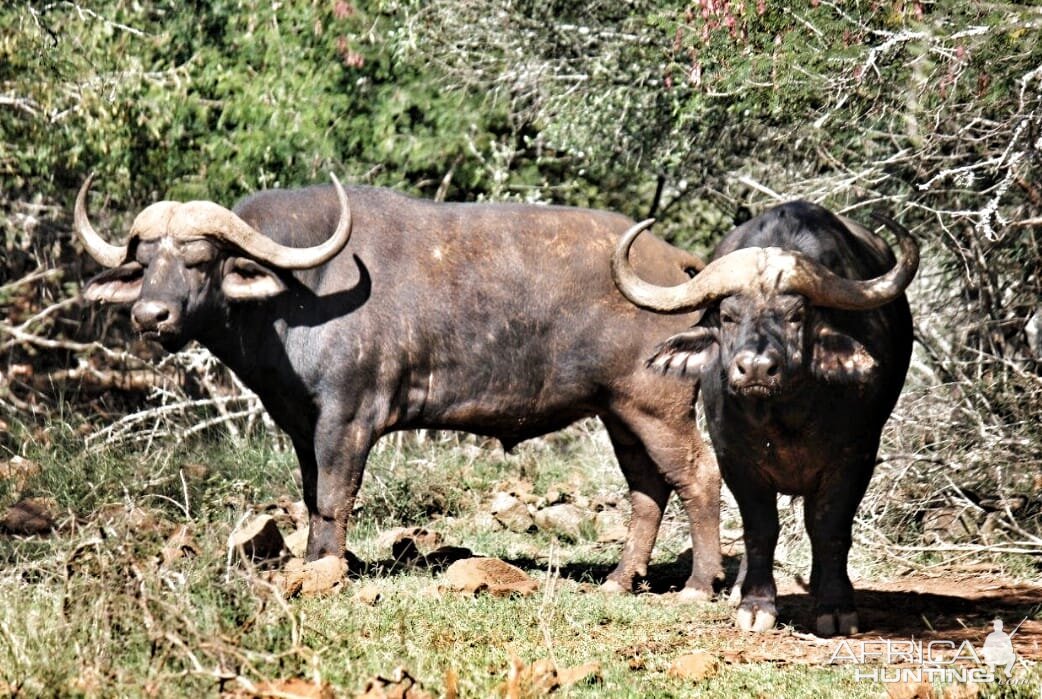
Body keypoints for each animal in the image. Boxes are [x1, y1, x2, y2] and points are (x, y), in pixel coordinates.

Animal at [608, 201, 921, 633]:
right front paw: (756, 604)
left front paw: (835, 606)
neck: (784, 417)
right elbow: (760, 528)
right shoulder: (735, 459)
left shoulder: (856, 456)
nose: (755, 368)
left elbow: (829, 527)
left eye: (796, 315)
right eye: (727, 316)